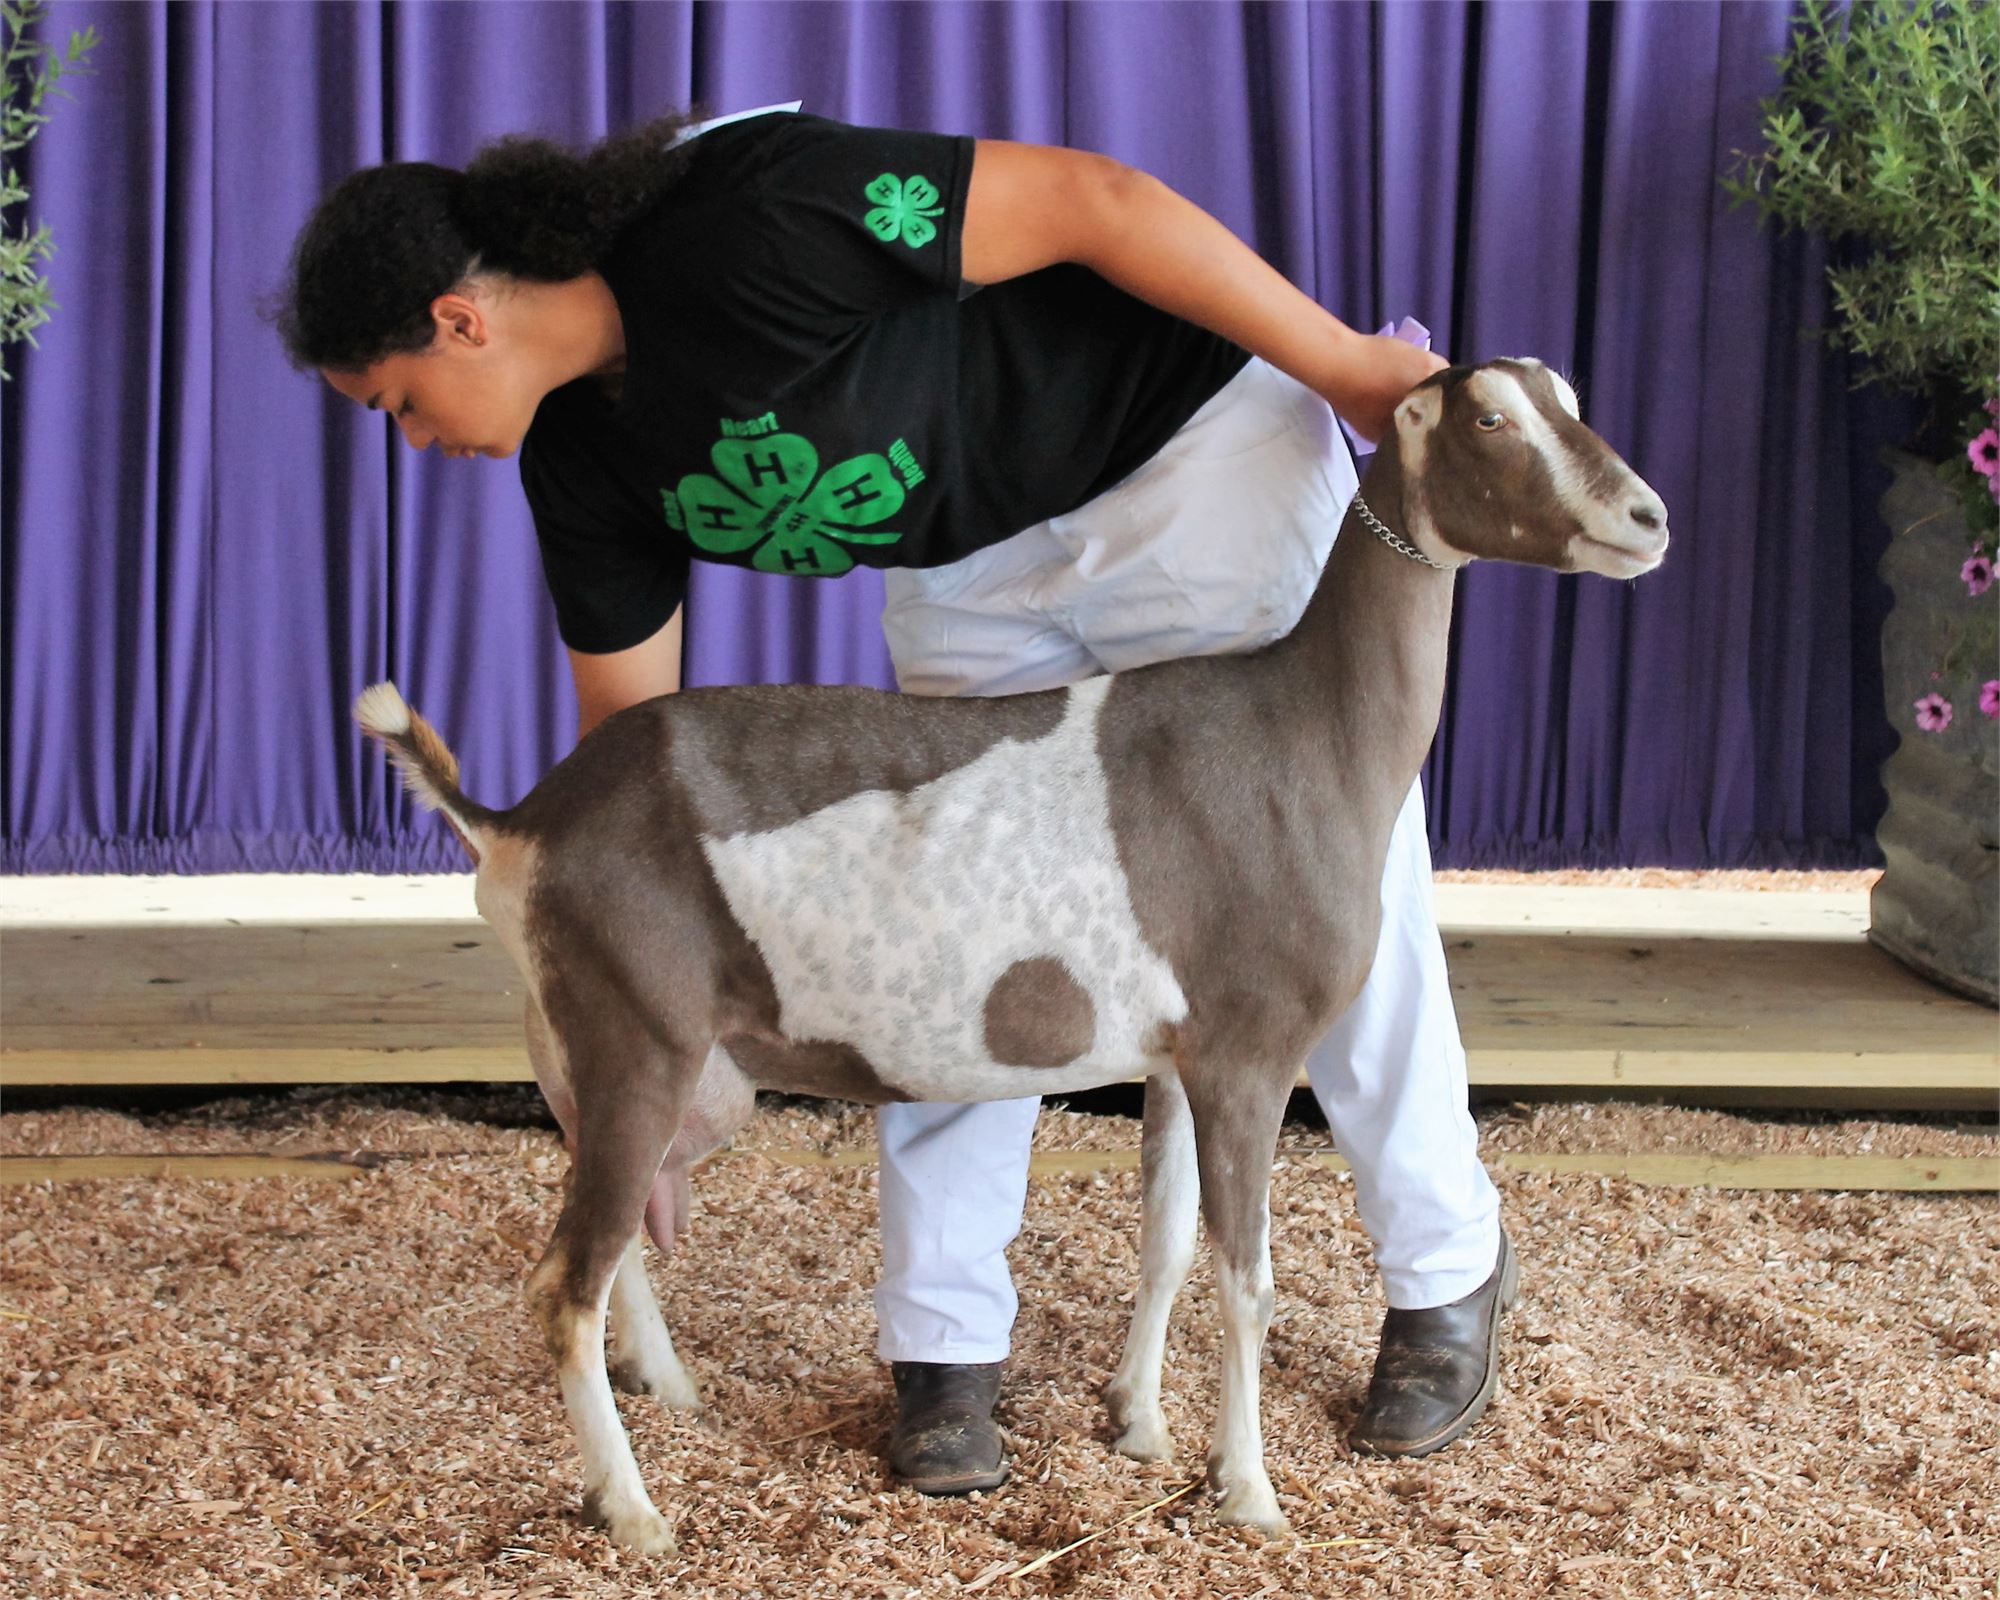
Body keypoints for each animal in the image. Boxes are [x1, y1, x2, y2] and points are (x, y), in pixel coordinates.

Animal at [352, 360, 1664, 1552]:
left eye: (1567, 397)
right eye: (1489, 418)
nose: (1647, 517)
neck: (1300, 731)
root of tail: (523, 819)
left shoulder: (1176, 1053)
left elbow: (1164, 1238)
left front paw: (1138, 1424)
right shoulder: (1248, 1051)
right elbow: (1246, 1279)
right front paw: (1248, 1491)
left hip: (630, 1065)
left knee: (613, 1235)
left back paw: (669, 1392)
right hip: (633, 1037)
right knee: (561, 1282)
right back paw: (632, 1511)